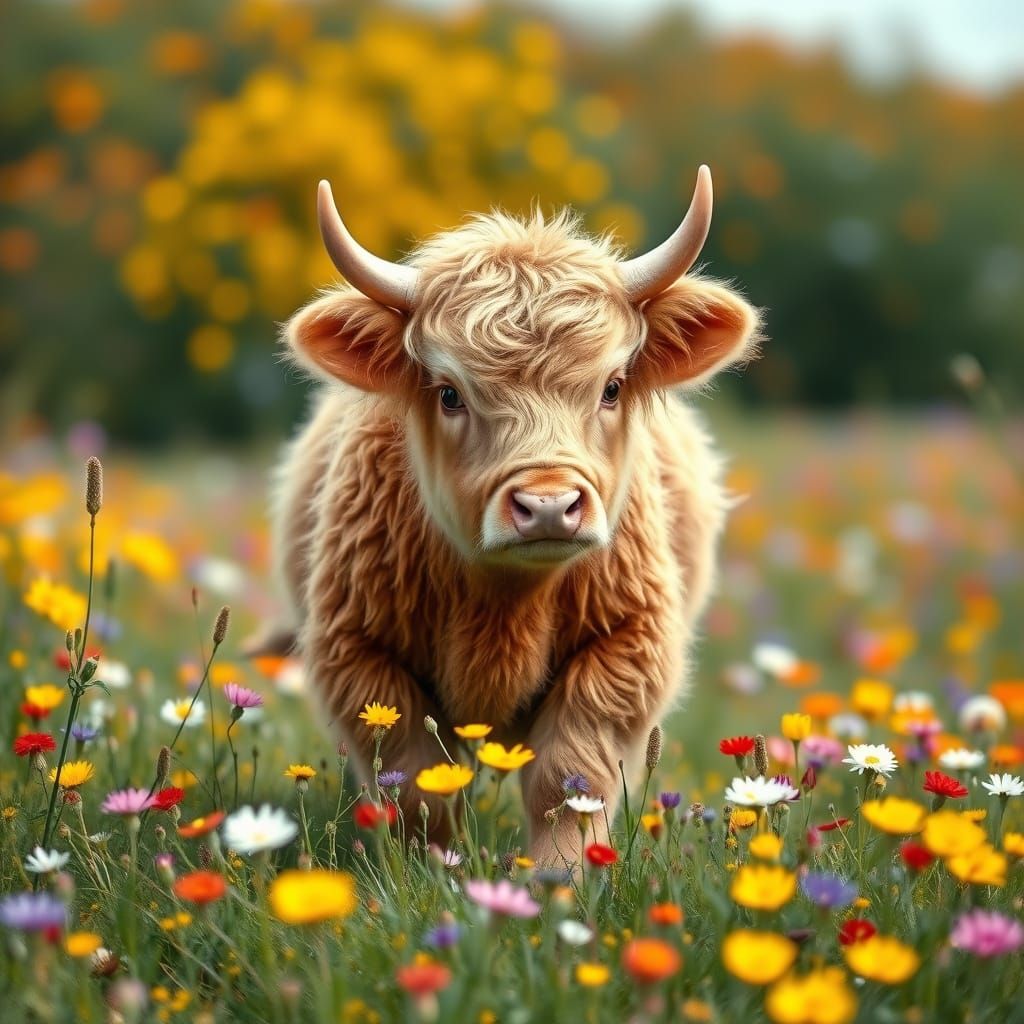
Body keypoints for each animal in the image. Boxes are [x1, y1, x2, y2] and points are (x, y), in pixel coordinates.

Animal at [264, 166, 760, 865]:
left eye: (611, 387)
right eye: (449, 394)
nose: (548, 505)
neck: (503, 606)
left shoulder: (629, 645)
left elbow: (568, 777)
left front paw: (560, 875)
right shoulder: (356, 652)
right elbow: (416, 782)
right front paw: (428, 869)